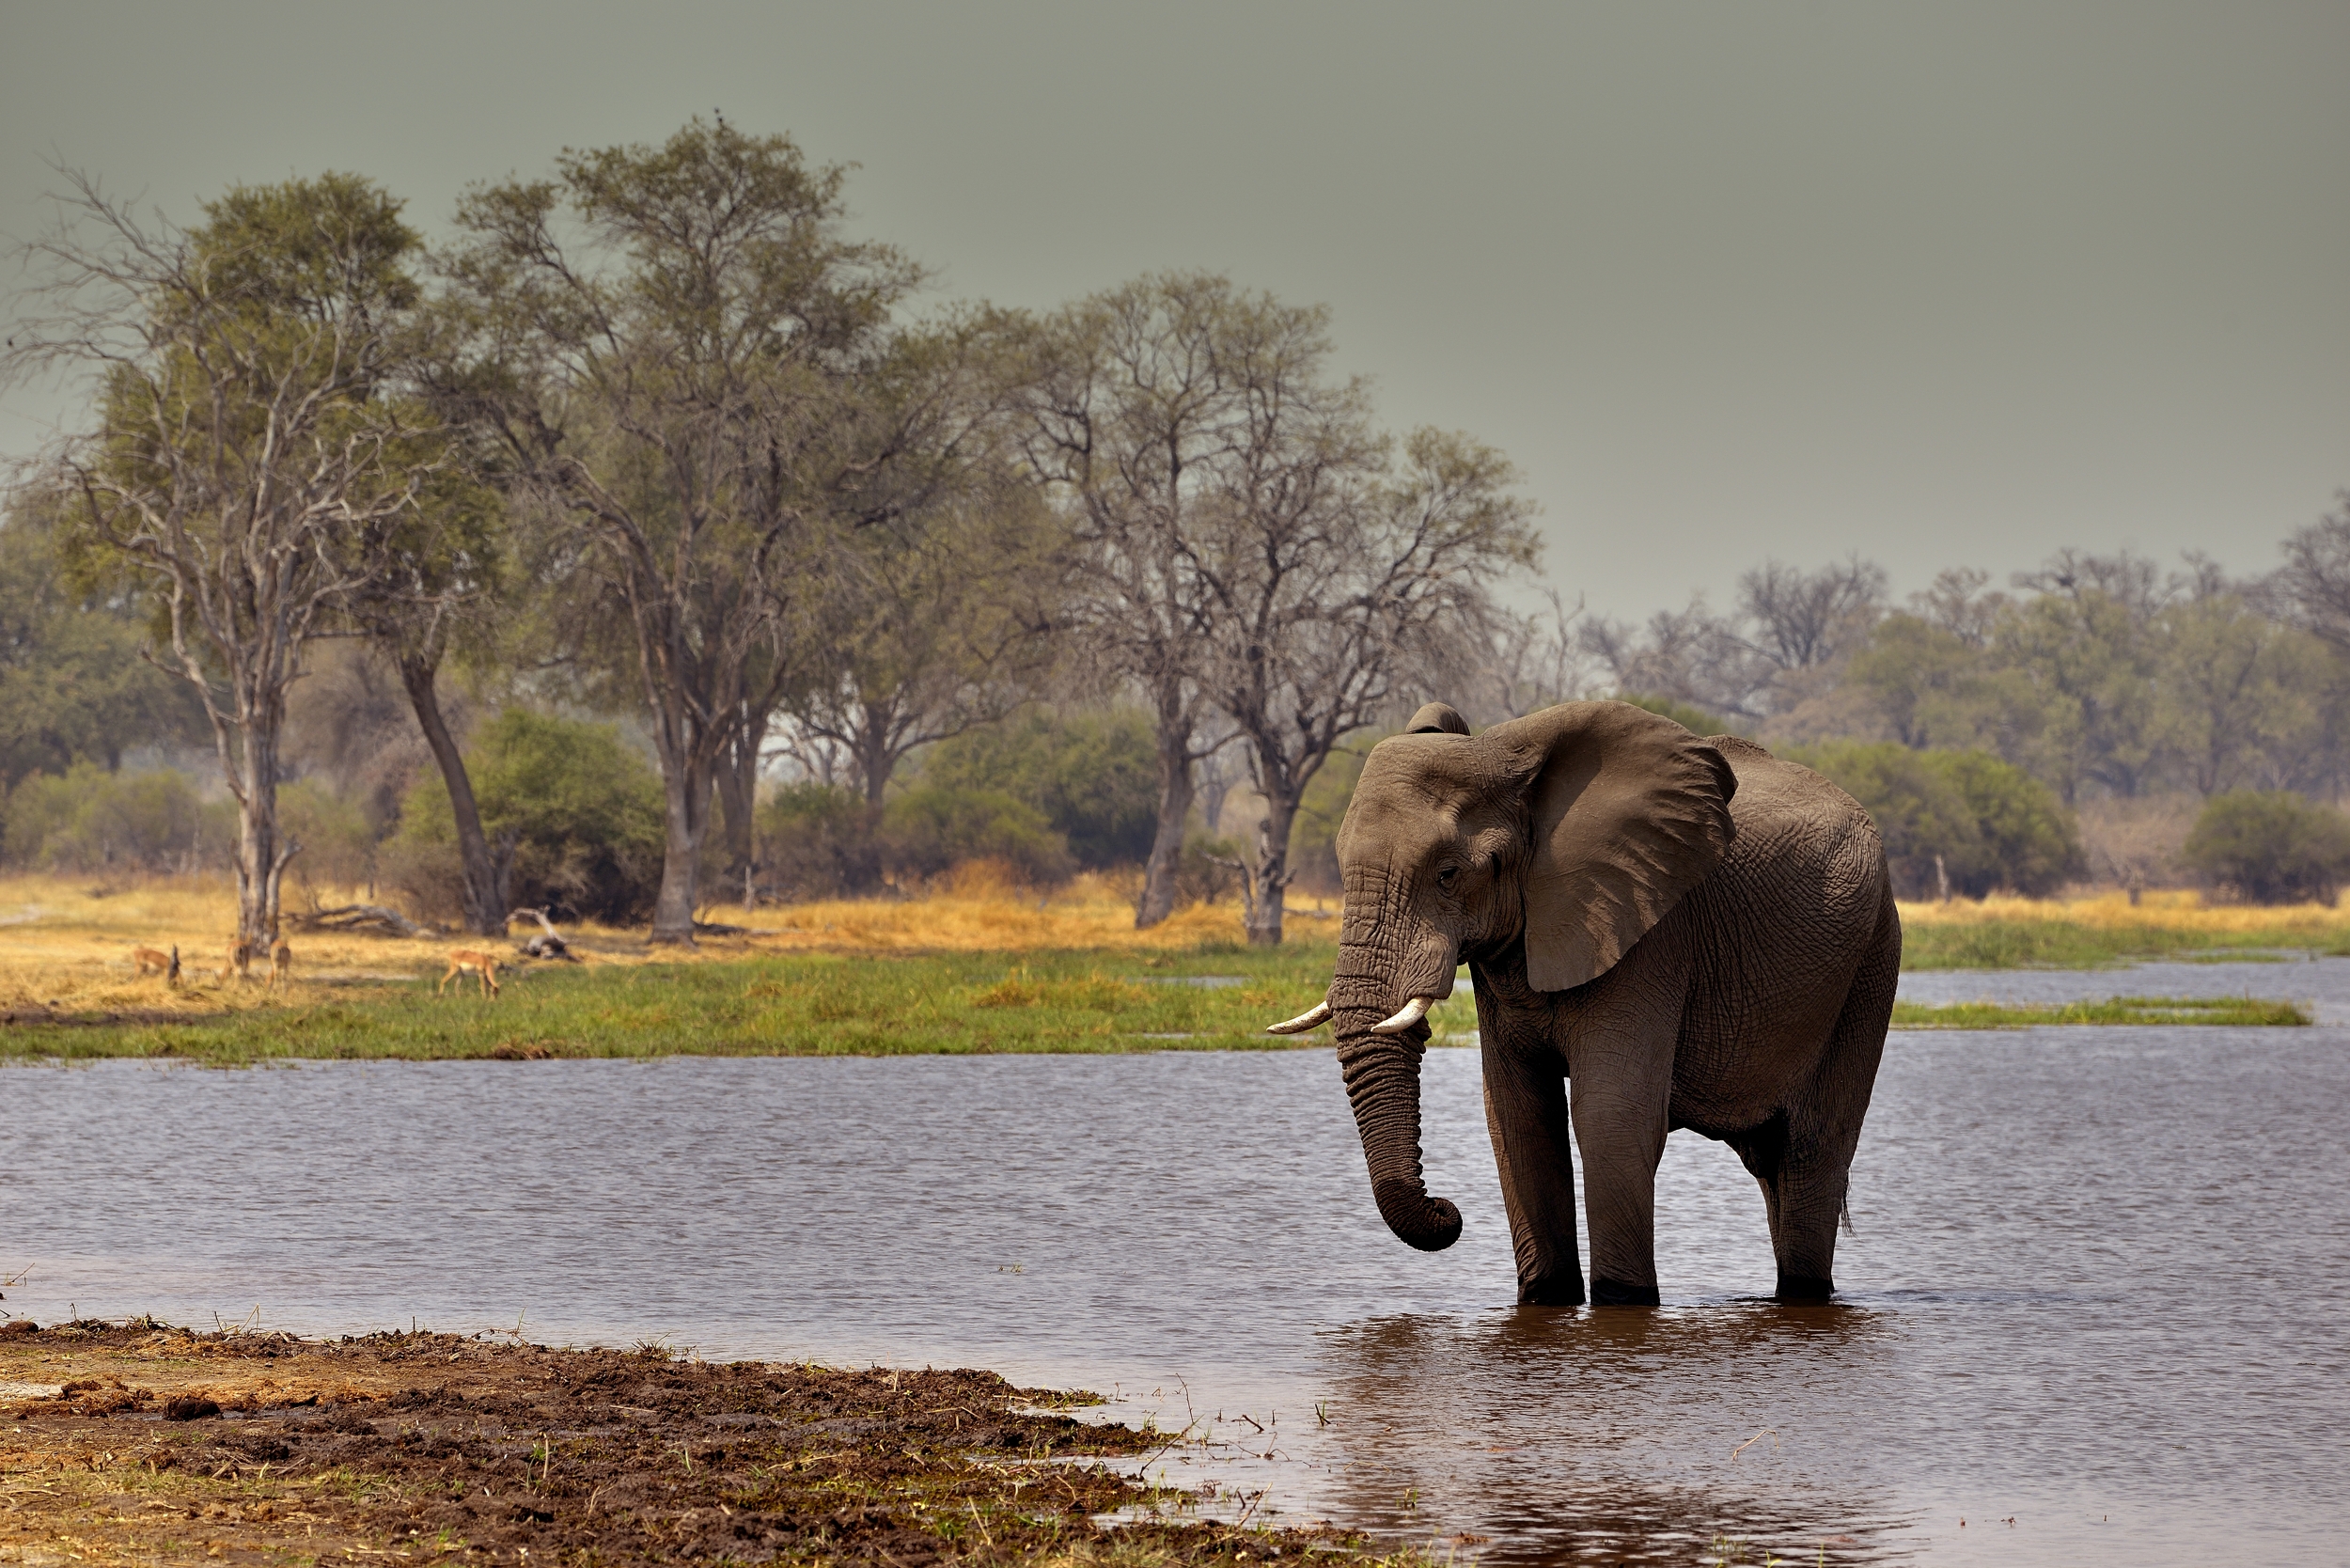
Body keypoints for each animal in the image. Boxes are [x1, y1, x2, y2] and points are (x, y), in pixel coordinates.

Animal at [1266, 698, 1900, 1306]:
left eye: (1448, 873)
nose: (1448, 1211)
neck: (1507, 759)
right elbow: (1518, 1119)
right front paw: (1546, 1299)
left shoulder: (1649, 931)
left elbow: (1610, 1118)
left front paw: (1624, 1303)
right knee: (1774, 1163)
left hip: (1871, 961)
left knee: (1812, 1152)